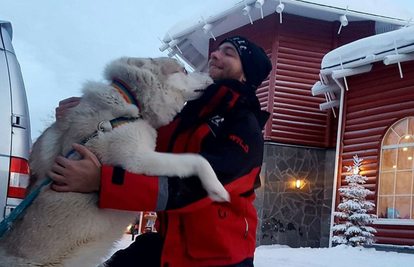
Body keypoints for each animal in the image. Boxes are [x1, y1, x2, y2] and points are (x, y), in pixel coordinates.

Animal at [0, 57, 230, 266]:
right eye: (184, 70)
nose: (210, 75)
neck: (132, 101)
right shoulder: (138, 159)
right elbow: (198, 159)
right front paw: (217, 189)